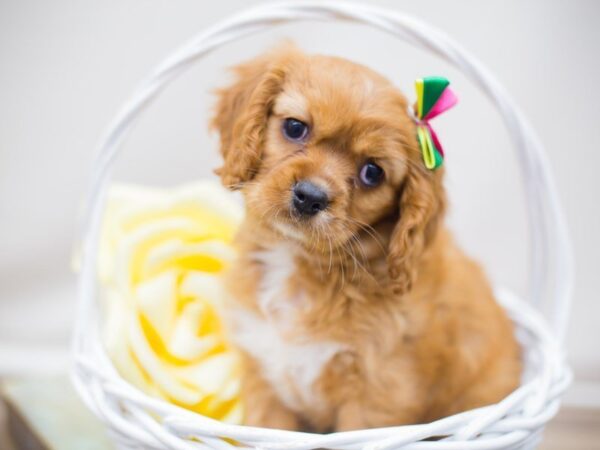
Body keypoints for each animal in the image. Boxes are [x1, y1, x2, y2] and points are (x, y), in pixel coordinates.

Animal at [211, 45, 520, 432]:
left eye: (372, 172)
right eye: (295, 127)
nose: (309, 197)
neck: (299, 261)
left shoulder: (378, 398)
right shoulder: (264, 377)